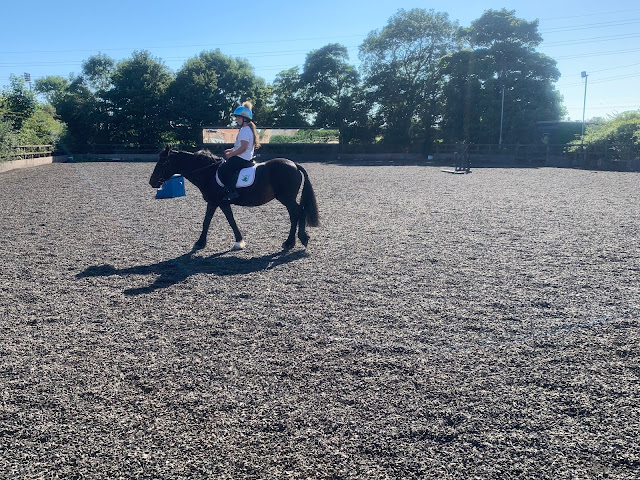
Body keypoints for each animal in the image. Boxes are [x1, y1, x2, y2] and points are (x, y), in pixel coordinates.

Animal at [151, 146, 320, 251]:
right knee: (294, 215)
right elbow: (208, 221)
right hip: (287, 199)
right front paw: (201, 242)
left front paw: (238, 242)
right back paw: (290, 242)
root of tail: (294, 164)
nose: (152, 182)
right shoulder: (214, 202)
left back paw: (301, 239)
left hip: (287, 198)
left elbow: (229, 221)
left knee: (299, 213)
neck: (208, 172)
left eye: (162, 162)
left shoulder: (220, 202)